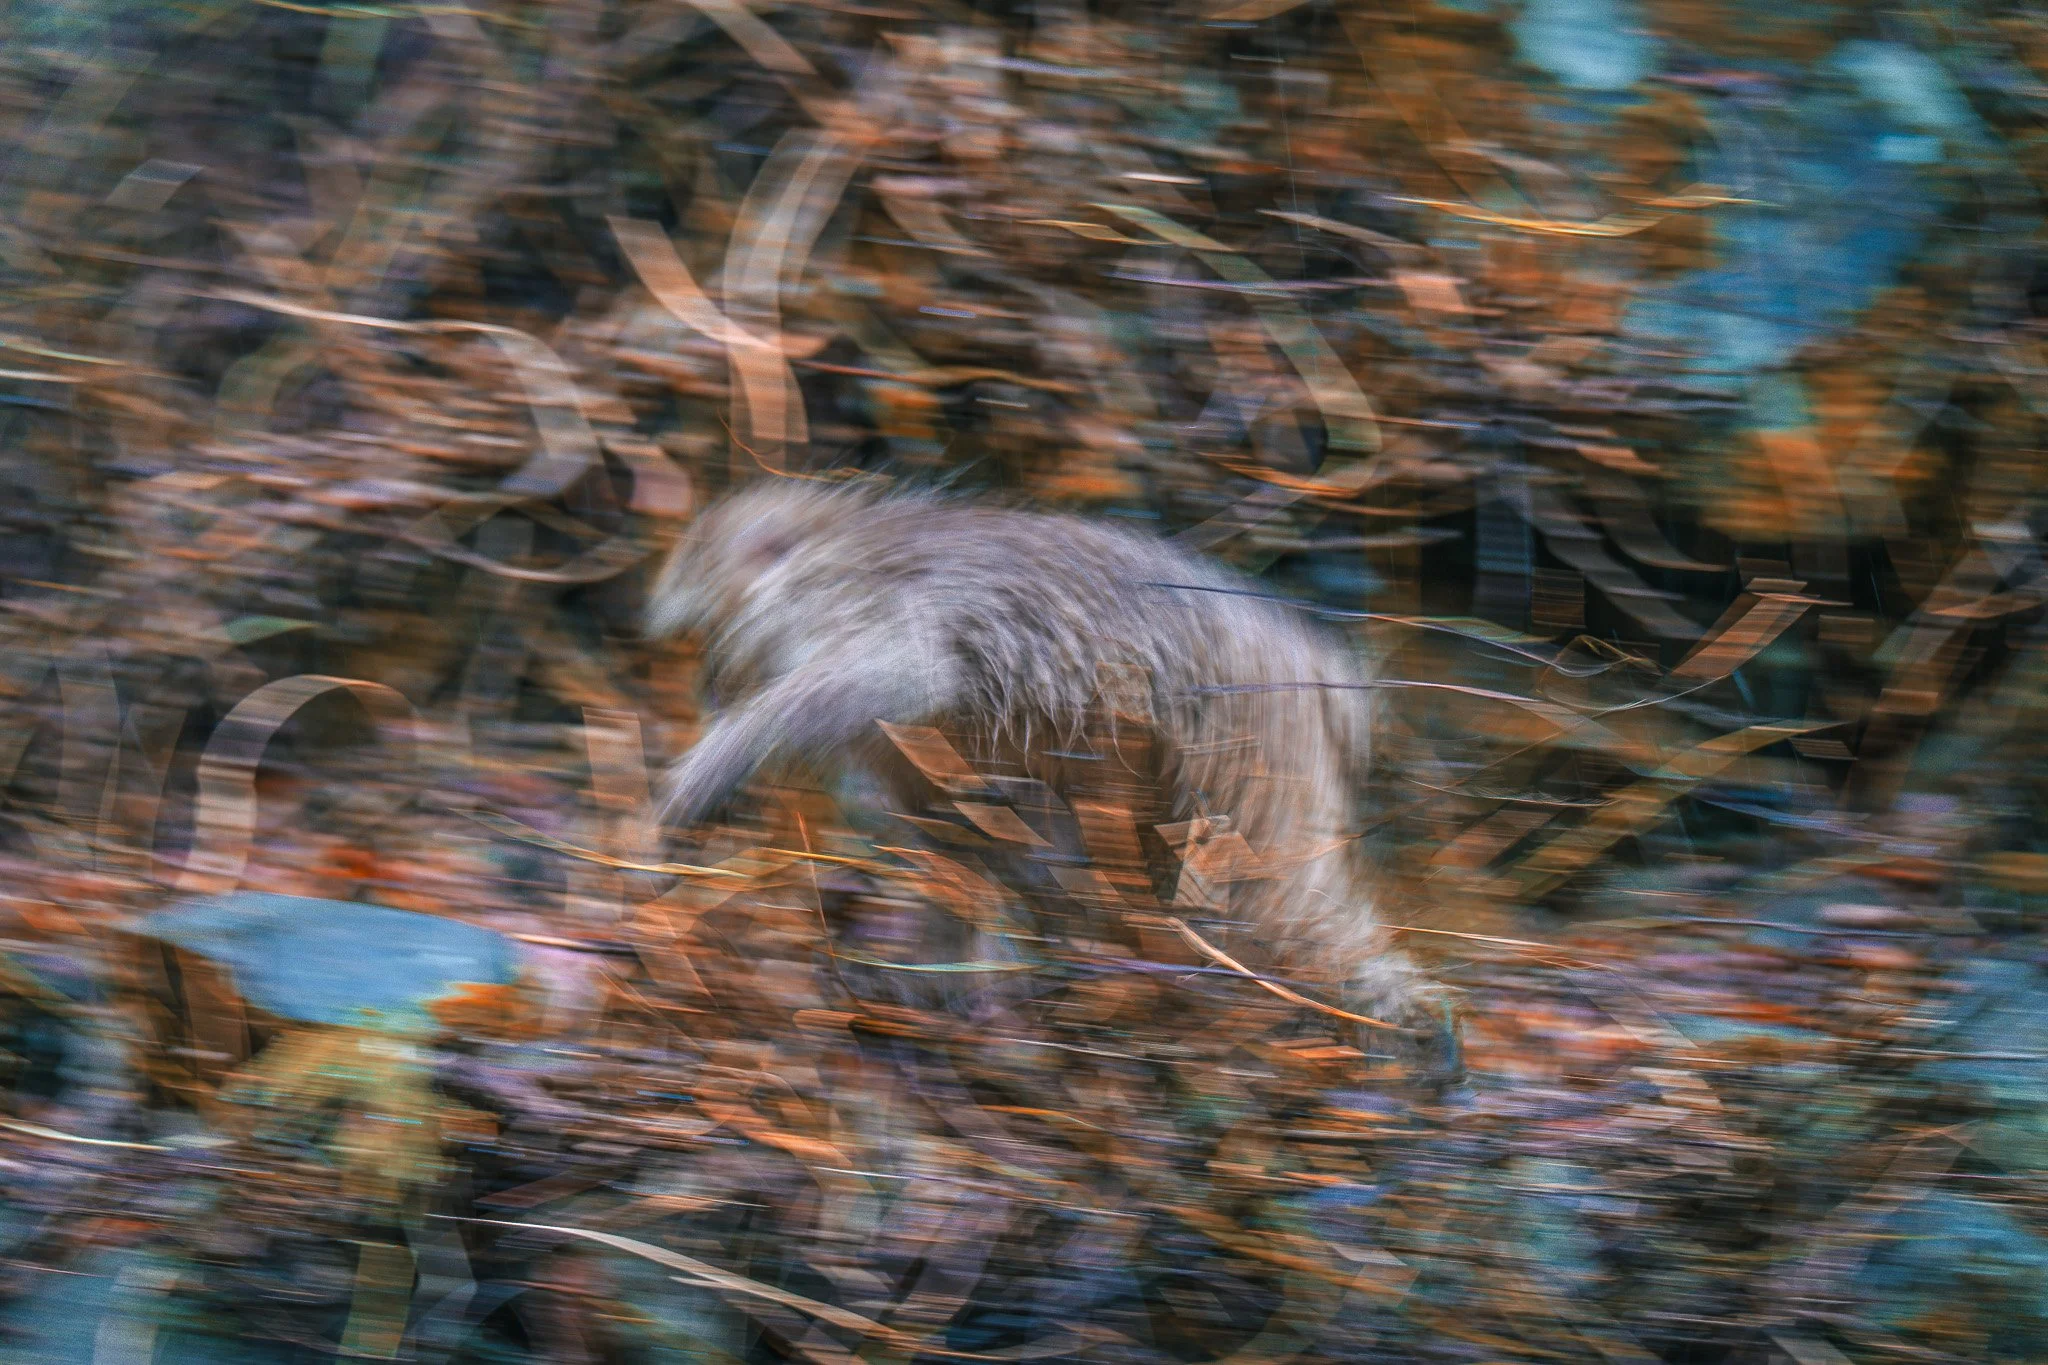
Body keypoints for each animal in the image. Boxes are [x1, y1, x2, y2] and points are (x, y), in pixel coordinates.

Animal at [643, 478, 1459, 1083]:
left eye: (712, 610)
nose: (708, 678)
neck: (822, 554)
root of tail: (1321, 674)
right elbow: (959, 825)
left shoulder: (872, 609)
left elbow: (901, 676)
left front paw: (715, 764)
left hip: (1250, 738)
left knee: (1277, 896)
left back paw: (1395, 1015)